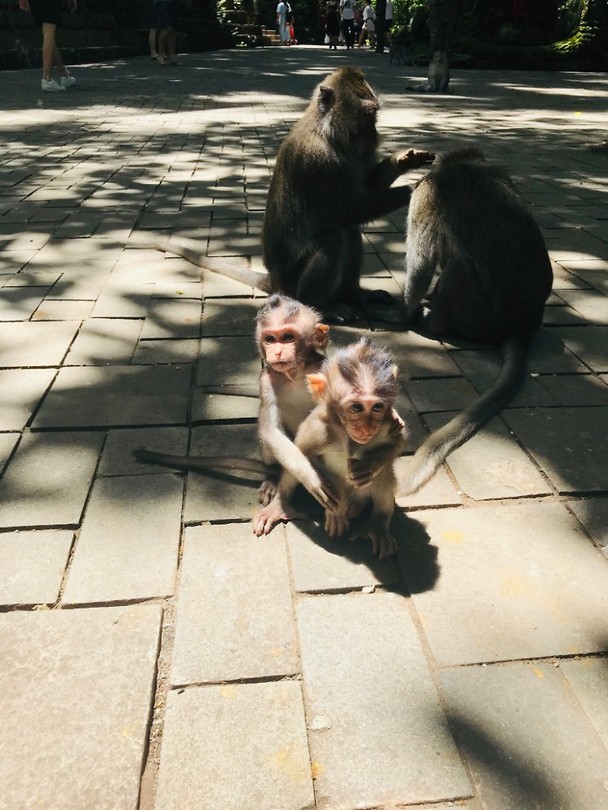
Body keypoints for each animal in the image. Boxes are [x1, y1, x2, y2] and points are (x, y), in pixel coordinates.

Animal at [134, 293, 338, 511]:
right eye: (270, 339)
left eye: (288, 337)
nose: (276, 352)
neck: (295, 374)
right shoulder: (266, 380)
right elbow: (270, 431)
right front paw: (311, 476)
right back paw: (273, 479)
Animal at [159, 67, 435, 324]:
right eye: (367, 115)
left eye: (374, 115)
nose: (374, 135)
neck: (327, 133)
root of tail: (275, 282)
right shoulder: (320, 160)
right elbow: (347, 209)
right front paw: (414, 189)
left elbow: (365, 189)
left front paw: (406, 160)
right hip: (292, 284)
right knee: (333, 239)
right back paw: (321, 306)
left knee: (349, 231)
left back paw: (354, 293)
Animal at [252, 337, 408, 560]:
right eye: (356, 407)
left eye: (377, 407)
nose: (367, 427)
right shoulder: (317, 429)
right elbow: (300, 453)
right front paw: (292, 497)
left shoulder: (386, 422)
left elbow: (398, 443)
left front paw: (366, 468)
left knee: (383, 475)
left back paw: (378, 523)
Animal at [397, 148, 553, 496]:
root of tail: (523, 326)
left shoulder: (427, 192)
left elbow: (422, 262)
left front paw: (405, 311)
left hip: (475, 315)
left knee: (456, 262)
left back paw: (433, 323)